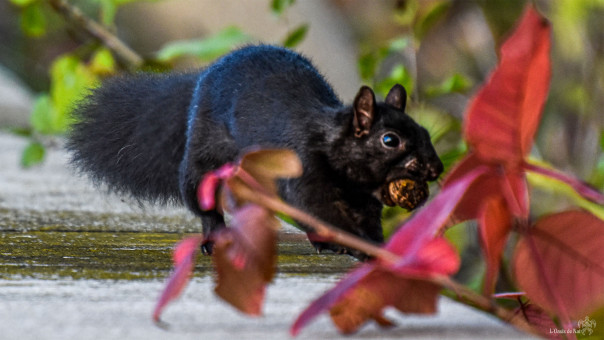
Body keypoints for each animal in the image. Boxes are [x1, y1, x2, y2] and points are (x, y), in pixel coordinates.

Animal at [67, 44, 444, 258]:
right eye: (390, 140)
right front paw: (361, 248)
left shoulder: (361, 198)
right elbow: (324, 213)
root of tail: (202, 77)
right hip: (202, 160)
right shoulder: (305, 174)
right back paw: (215, 237)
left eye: (425, 132)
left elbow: (363, 219)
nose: (435, 169)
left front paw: (377, 246)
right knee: (205, 204)